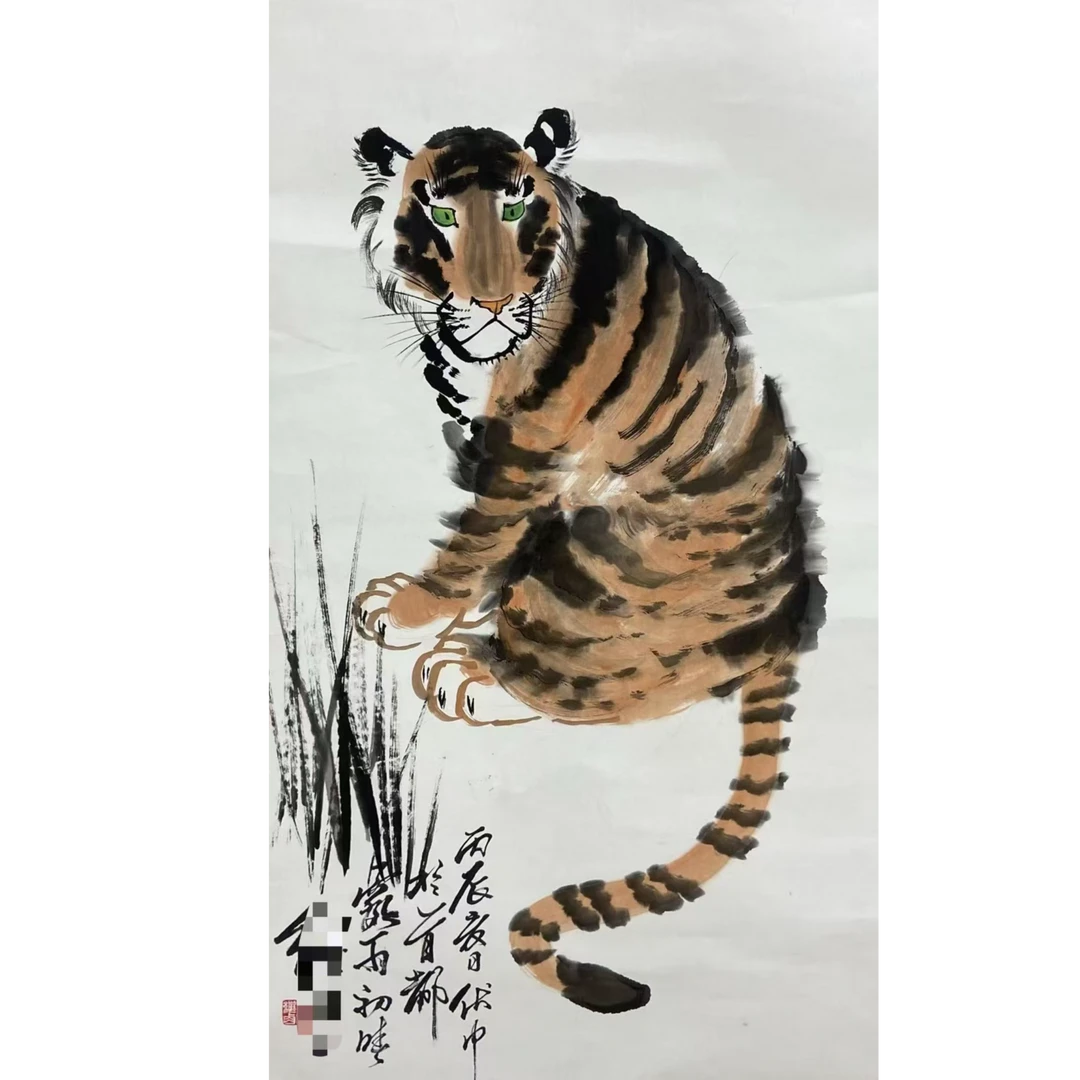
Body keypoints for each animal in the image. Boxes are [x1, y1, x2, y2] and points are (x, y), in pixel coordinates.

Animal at [349, 108, 826, 1015]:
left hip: (592, 563)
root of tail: (787, 623)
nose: (492, 300)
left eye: (512, 209)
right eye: (443, 215)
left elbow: (474, 542)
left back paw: (468, 672)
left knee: (580, 684)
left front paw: (403, 612)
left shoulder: (528, 447)